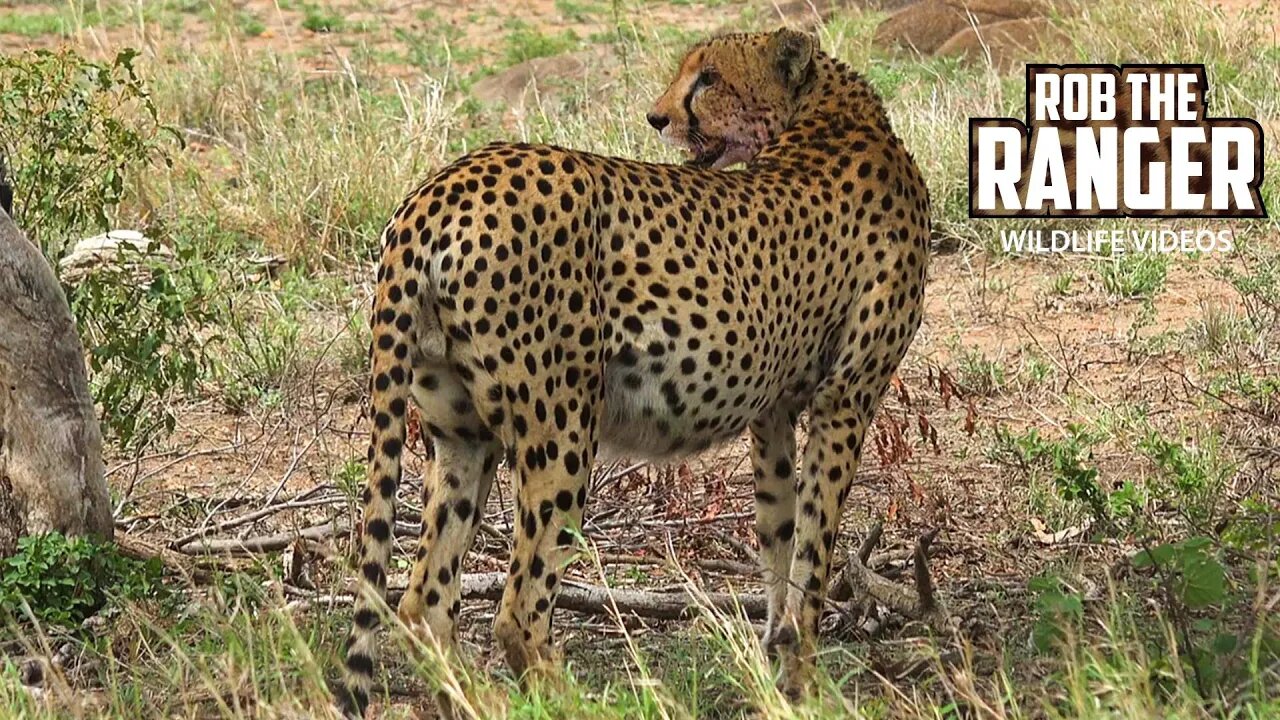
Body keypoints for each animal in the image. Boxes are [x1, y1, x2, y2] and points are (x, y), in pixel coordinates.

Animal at [340, 26, 931, 712]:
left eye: (709, 78)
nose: (657, 117)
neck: (821, 112)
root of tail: (439, 186)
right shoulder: (846, 400)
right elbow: (814, 551)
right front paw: (807, 680)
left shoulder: (775, 412)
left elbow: (780, 538)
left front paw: (778, 667)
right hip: (561, 431)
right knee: (517, 610)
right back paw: (569, 700)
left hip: (461, 434)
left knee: (423, 603)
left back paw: (474, 700)